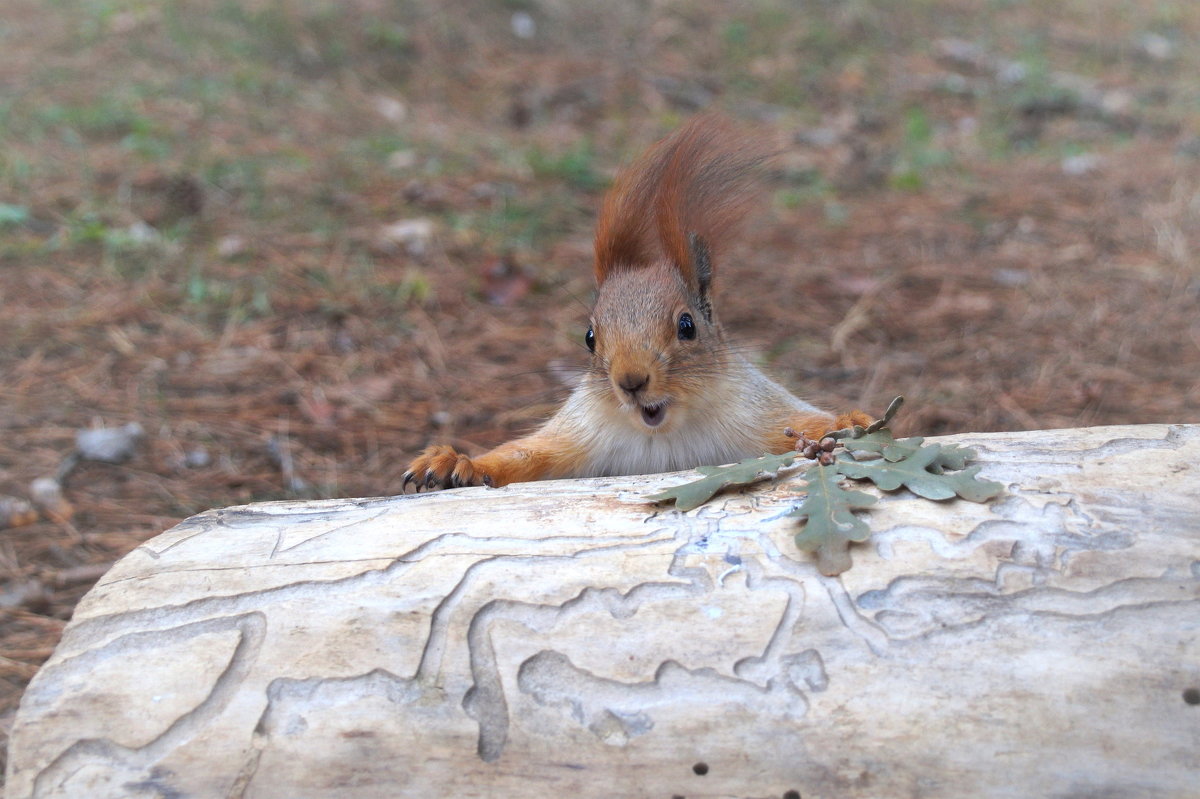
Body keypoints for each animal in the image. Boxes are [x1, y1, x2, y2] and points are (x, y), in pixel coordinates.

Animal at [408, 110, 868, 484]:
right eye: (589, 337)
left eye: (687, 326)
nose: (630, 381)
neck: (664, 432)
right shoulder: (580, 433)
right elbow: (526, 456)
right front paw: (456, 463)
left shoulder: (756, 413)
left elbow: (800, 421)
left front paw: (850, 420)